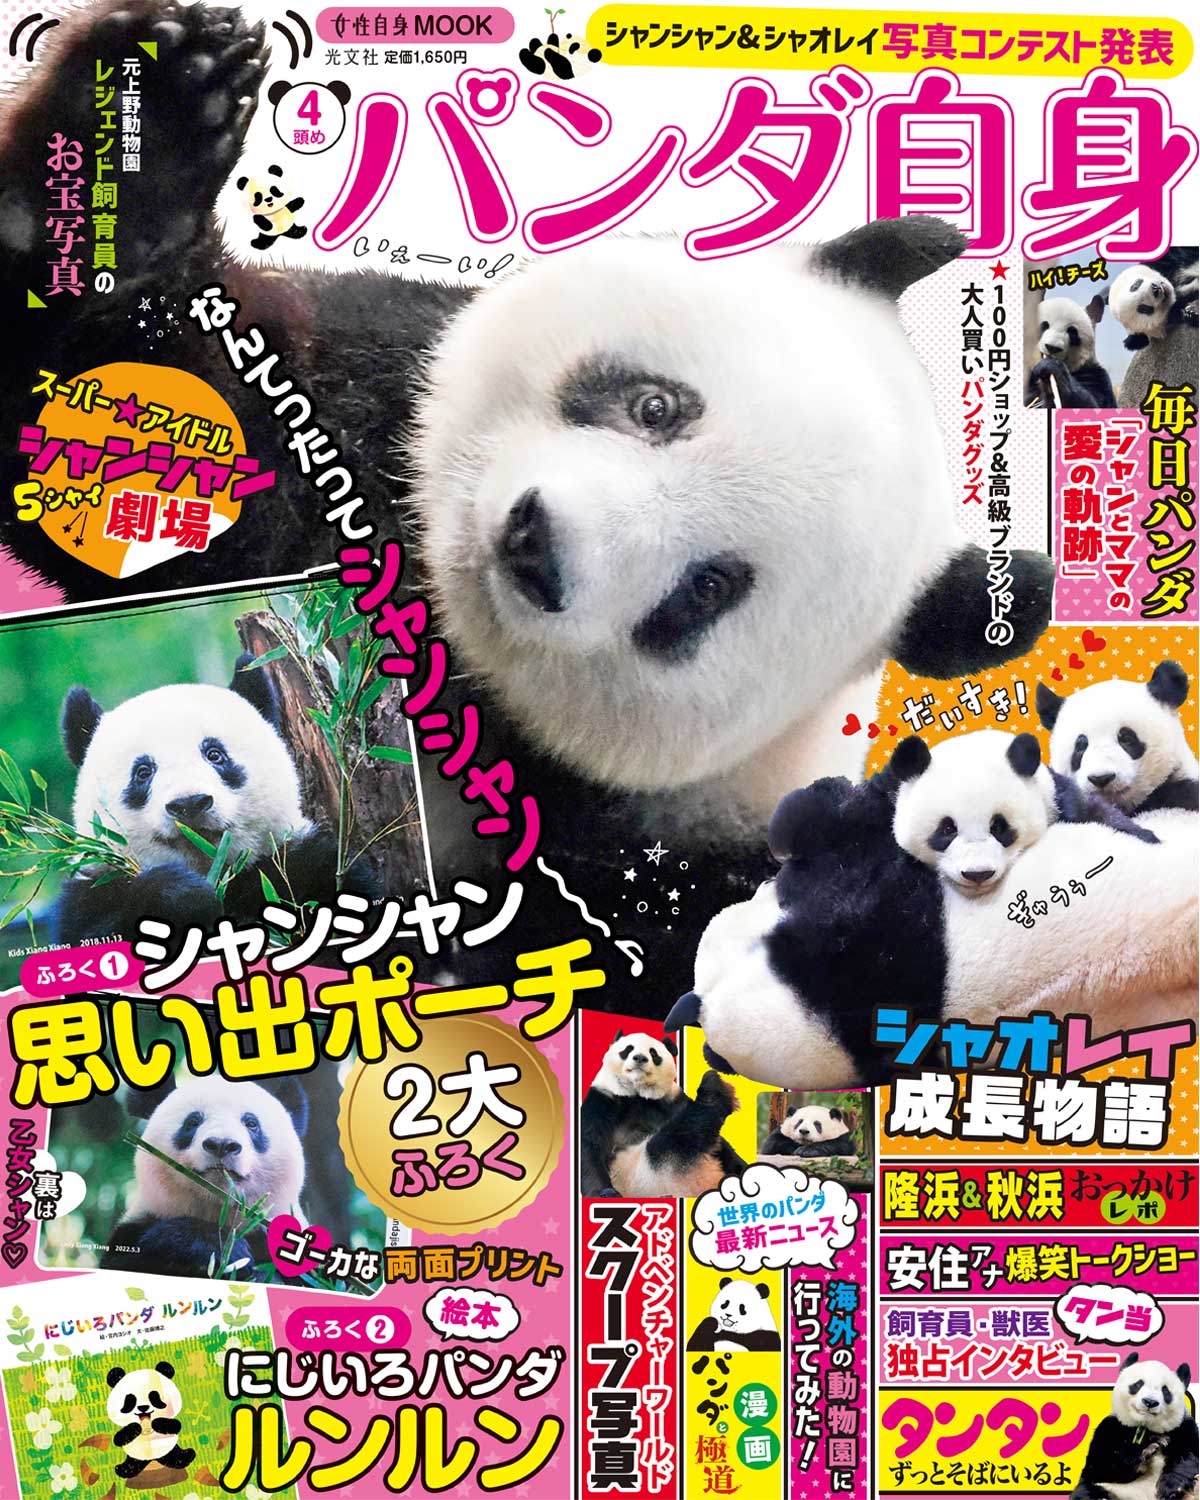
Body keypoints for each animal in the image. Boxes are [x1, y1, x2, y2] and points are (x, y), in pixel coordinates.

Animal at [50, 650, 374, 946]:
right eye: (143, 772)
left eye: (215, 754)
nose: (189, 804)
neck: (212, 869)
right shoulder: (93, 892)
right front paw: (181, 896)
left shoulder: (303, 866)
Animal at [101, 1075, 307, 1279]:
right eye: (193, 1122)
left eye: (251, 1124)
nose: (221, 1144)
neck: (217, 1208)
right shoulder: (136, 1228)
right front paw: (225, 1250)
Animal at [580, 1031, 747, 1197]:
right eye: (628, 1049)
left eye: (653, 1053)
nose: (640, 1058)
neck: (638, 1094)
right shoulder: (603, 1101)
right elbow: (590, 1146)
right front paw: (604, 1192)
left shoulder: (672, 1101)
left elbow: (724, 1149)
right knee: (678, 1135)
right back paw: (714, 1090)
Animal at [890, 729, 1158, 898]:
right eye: (947, 828)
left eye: (998, 827)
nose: (978, 874)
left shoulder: (1056, 797)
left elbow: (1093, 810)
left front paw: (1147, 837)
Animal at [1071, 1354, 1197, 1500]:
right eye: (1138, 1384)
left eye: (1165, 1390)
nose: (1150, 1402)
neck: (1145, 1426)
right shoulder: (1111, 1427)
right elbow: (1100, 1465)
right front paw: (1147, 1448)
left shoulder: (1183, 1427)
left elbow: (1189, 1455)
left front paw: (1173, 1486)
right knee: (1086, 1491)